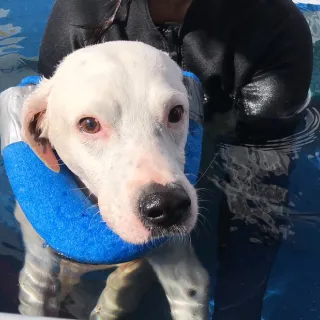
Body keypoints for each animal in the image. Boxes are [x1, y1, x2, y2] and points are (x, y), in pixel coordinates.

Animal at [8, 41, 210, 318]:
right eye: (89, 124)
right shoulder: (37, 257)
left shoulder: (178, 262)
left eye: (176, 112)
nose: (168, 206)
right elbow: (36, 295)